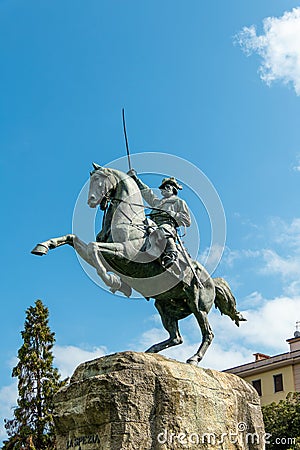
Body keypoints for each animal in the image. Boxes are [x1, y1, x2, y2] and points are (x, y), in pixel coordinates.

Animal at [31, 165, 245, 366]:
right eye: (91, 179)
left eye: (100, 179)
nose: (91, 200)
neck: (125, 222)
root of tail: (212, 281)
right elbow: (74, 239)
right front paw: (43, 246)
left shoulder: (124, 253)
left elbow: (93, 248)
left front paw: (112, 281)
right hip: (165, 306)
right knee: (176, 337)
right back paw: (151, 350)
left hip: (197, 305)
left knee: (208, 333)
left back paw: (193, 359)